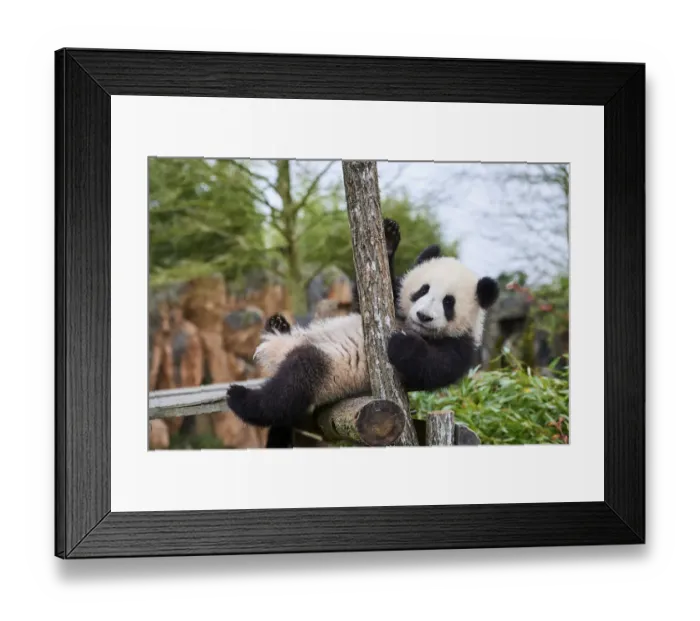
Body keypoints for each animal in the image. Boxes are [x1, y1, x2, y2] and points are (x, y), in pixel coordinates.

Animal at [226, 218, 499, 447]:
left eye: (448, 302)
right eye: (423, 290)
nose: (423, 316)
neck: (413, 326)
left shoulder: (461, 346)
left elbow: (433, 369)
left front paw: (402, 343)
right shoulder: (393, 306)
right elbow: (372, 296)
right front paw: (388, 239)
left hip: (328, 373)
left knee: (292, 386)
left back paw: (240, 398)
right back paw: (278, 325)